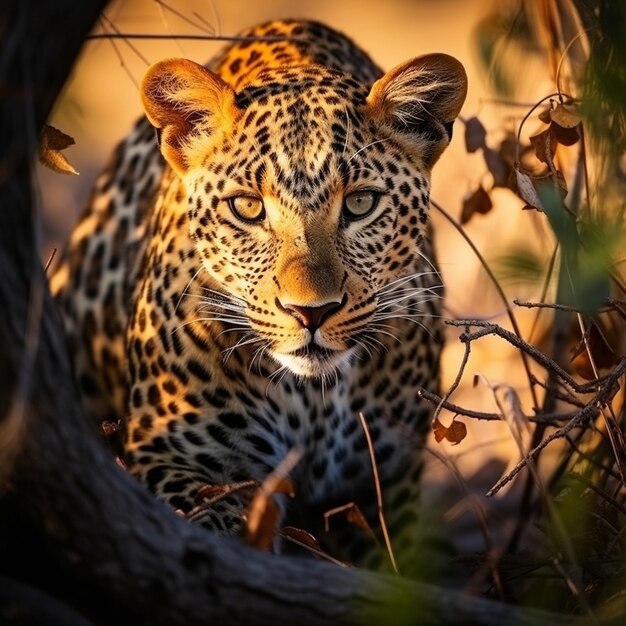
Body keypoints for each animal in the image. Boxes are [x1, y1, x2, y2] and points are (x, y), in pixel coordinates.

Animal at [51, 17, 466, 572]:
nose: (311, 313)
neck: (314, 400)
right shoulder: (175, 456)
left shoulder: (386, 487)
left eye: (360, 203)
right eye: (247, 207)